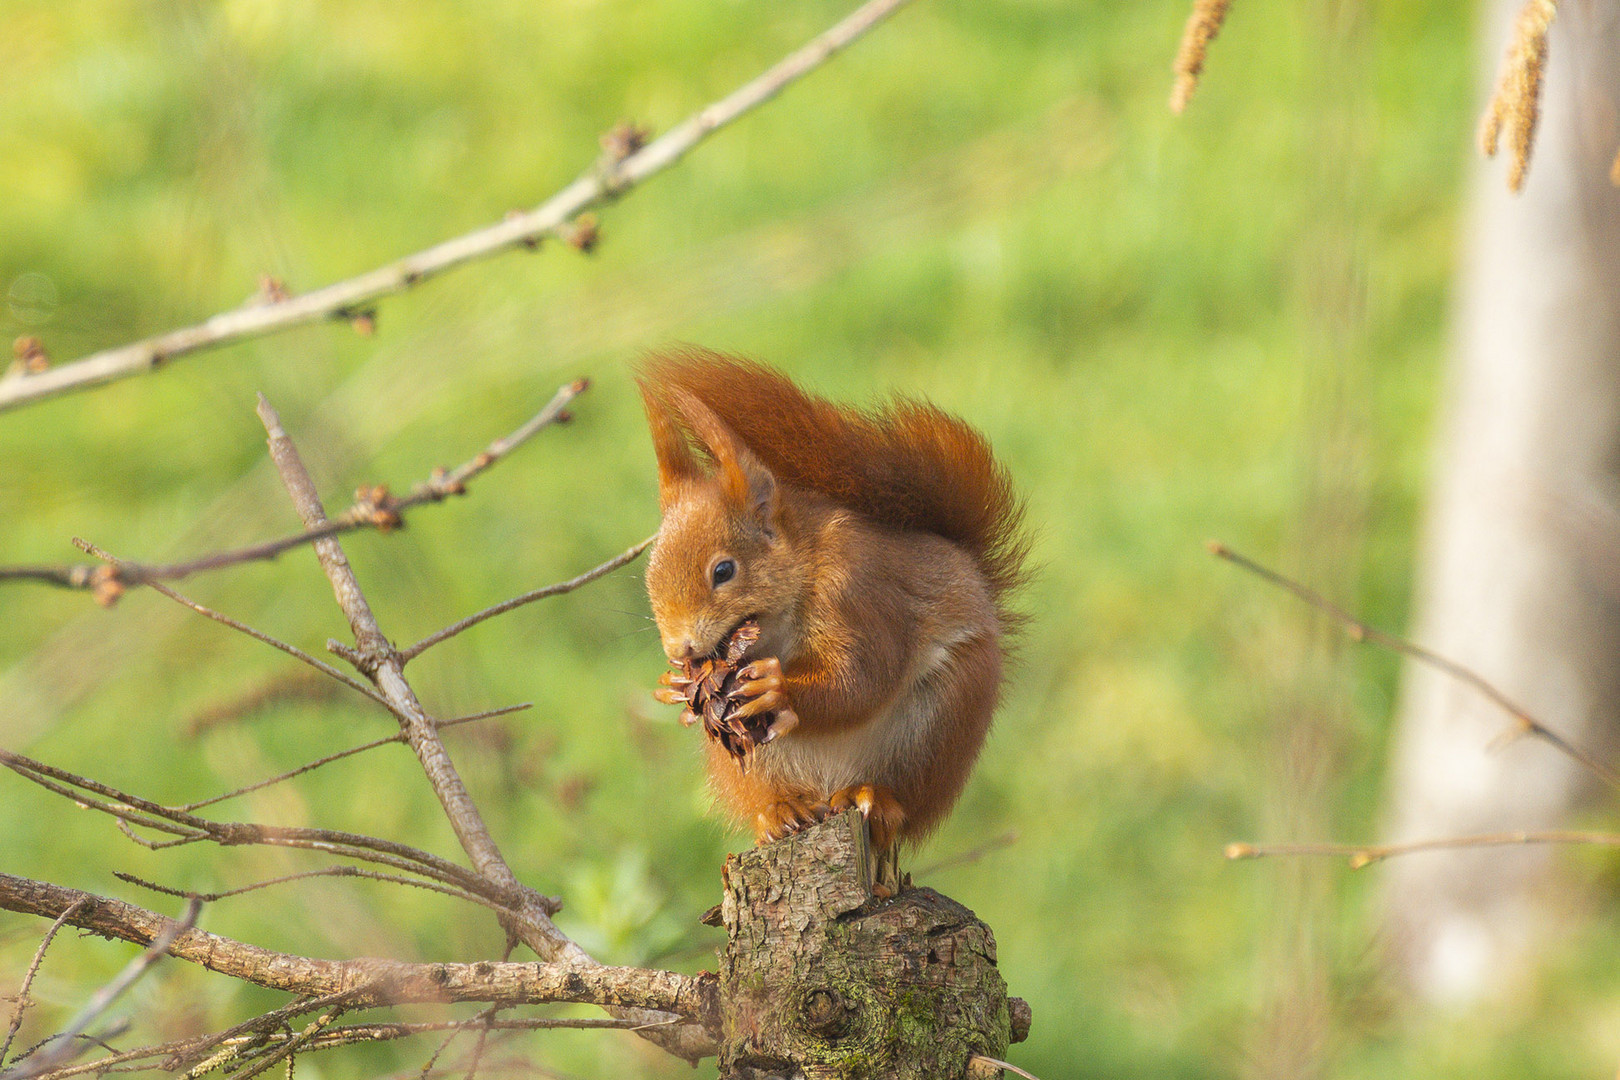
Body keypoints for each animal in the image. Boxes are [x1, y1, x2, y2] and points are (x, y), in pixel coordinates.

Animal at [635, 348, 1023, 854]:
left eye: (723, 571)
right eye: (649, 573)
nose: (678, 649)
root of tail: (830, 787)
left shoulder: (859, 589)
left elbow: (863, 676)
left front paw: (777, 689)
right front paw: (672, 684)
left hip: (941, 724)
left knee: (905, 798)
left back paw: (874, 798)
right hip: (749, 761)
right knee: (767, 793)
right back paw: (781, 810)